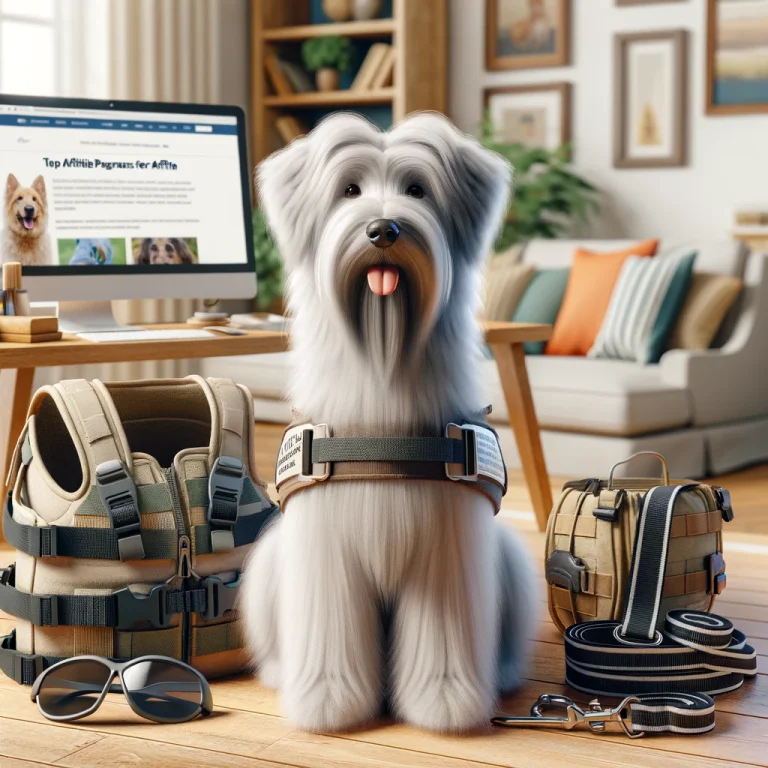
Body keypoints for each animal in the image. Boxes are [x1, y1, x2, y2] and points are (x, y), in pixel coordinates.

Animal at [243, 112, 536, 732]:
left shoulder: (446, 544)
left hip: (510, 564)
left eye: (418, 190)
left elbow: (441, 632)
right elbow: (331, 630)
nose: (383, 229)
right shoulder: (325, 546)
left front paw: (444, 700)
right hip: (271, 565)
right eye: (349, 190)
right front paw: (328, 700)